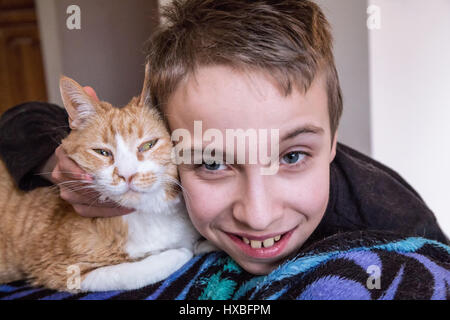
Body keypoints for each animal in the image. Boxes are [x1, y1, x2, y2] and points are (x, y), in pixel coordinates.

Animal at [0, 65, 204, 292]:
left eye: (148, 145)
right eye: (102, 152)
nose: (127, 175)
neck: (149, 213)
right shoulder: (64, 270)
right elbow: (139, 270)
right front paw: (180, 251)